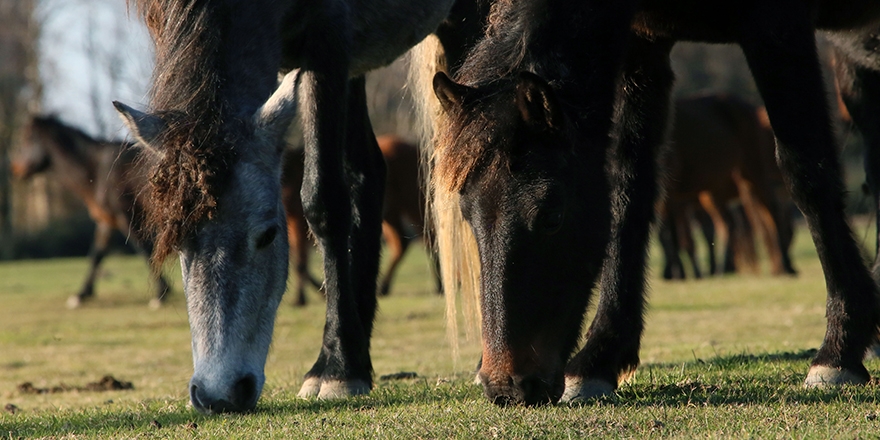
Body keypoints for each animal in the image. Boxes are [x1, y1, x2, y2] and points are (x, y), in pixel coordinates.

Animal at [10, 117, 170, 310]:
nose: (15, 170)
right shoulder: (107, 221)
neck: (97, 170)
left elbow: (144, 250)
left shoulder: (126, 217)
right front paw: (82, 294)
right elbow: (96, 255)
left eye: (27, 138)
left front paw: (161, 293)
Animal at [284, 134, 440, 306]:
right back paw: (385, 287)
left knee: (429, 239)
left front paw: (302, 298)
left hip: (413, 206)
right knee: (402, 243)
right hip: (391, 214)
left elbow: (300, 262)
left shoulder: (298, 222)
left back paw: (439, 286)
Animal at [660, 96, 796, 280]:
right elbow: (668, 235)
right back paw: (722, 268)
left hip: (753, 173)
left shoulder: (673, 194)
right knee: (728, 224)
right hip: (714, 192)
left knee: (771, 215)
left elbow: (675, 235)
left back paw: (784, 266)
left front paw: (679, 273)